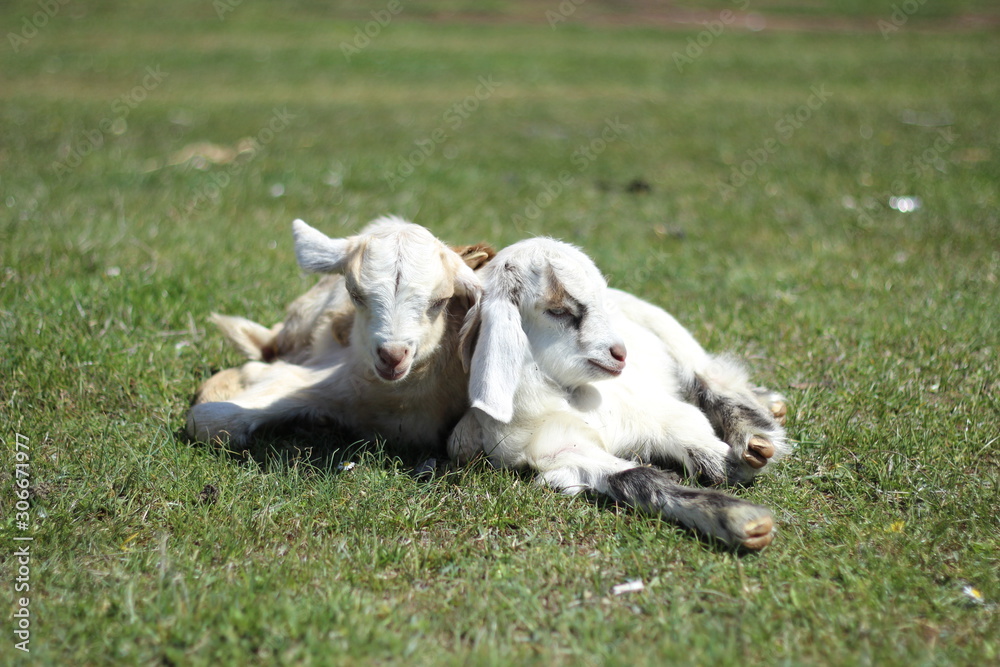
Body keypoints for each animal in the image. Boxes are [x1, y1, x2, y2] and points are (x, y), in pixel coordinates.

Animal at [446, 238, 789, 550]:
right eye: (557, 310)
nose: (620, 353)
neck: (570, 398)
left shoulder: (654, 411)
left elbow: (695, 431)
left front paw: (735, 466)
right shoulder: (561, 452)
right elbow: (636, 478)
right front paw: (740, 519)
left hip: (669, 331)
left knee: (709, 377)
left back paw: (757, 434)